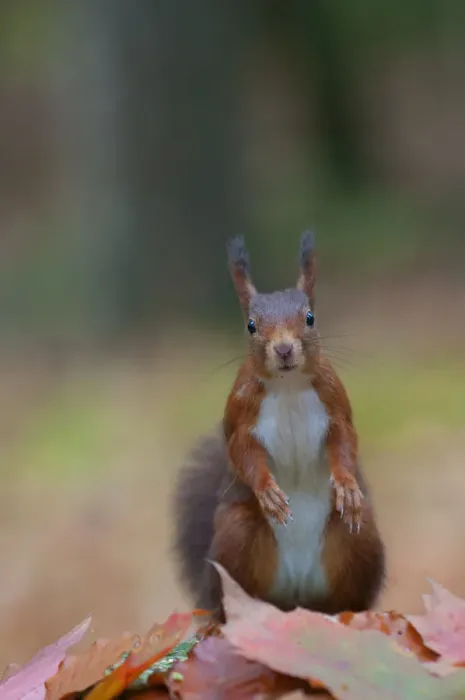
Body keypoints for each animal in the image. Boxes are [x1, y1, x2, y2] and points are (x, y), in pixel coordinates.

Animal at [173, 232, 386, 620]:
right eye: (251, 325)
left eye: (310, 318)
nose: (284, 349)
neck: (288, 385)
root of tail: (296, 597)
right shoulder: (242, 413)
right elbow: (242, 452)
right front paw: (267, 491)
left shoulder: (335, 404)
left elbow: (344, 441)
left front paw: (346, 484)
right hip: (237, 537)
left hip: (359, 541)